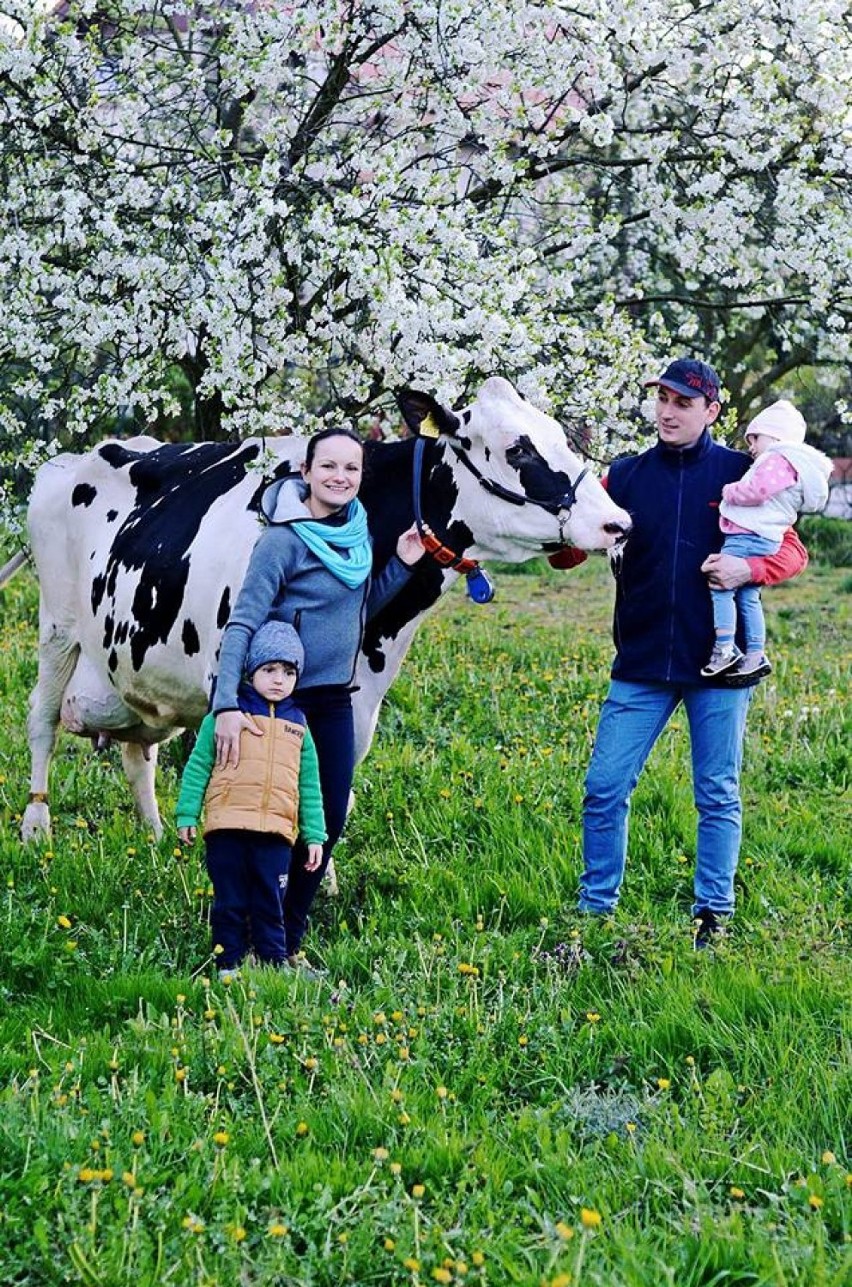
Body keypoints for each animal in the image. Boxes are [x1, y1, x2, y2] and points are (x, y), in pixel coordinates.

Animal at [18, 375, 633, 839]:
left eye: (561, 434)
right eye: (518, 448)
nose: (618, 522)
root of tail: (74, 457)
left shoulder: (362, 697)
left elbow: (332, 781)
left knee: (137, 752)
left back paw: (155, 835)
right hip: (58, 627)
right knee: (42, 718)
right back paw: (37, 827)